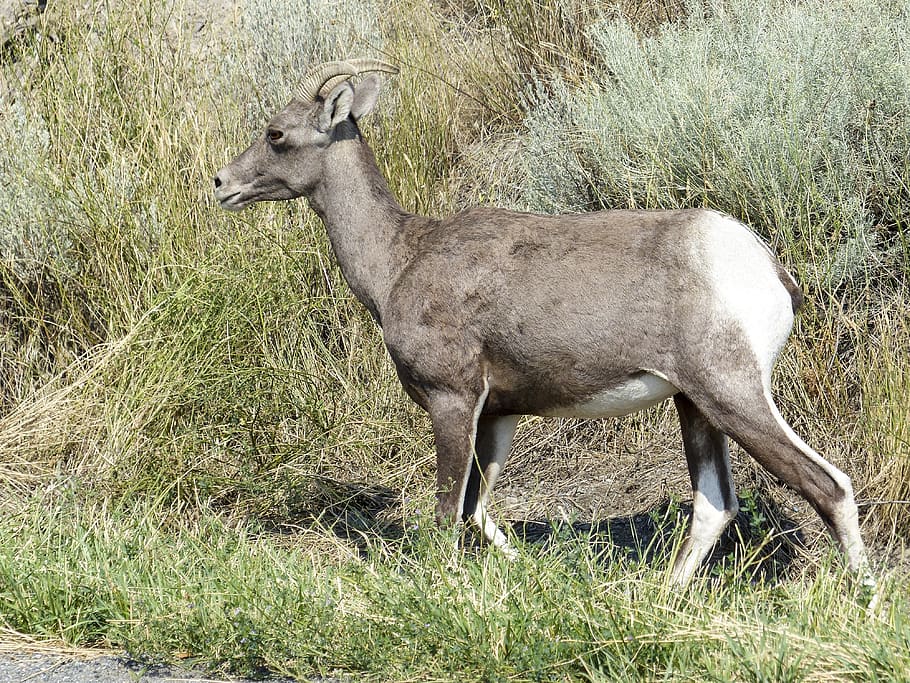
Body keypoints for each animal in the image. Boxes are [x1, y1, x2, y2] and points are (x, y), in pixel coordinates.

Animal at [216, 58, 876, 588]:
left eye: (276, 133)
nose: (222, 184)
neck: (399, 261)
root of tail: (767, 268)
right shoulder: (500, 414)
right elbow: (479, 510)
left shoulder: (453, 401)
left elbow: (448, 513)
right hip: (695, 405)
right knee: (715, 504)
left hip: (733, 394)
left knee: (830, 486)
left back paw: (864, 598)